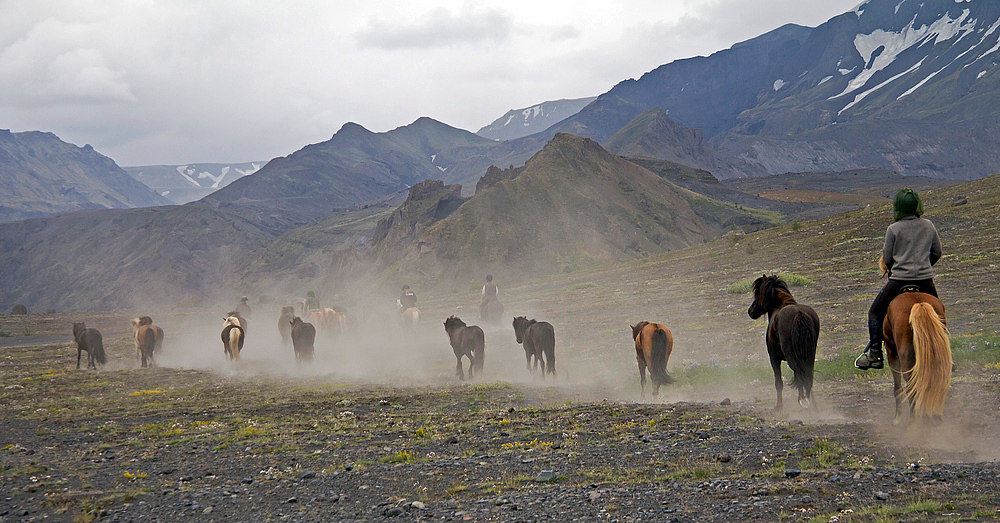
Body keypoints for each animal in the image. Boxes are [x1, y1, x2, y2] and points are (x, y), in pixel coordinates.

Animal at [752, 274, 820, 410]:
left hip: (790, 357)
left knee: (799, 374)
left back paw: (802, 400)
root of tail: (799, 314)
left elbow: (778, 382)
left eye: (758, 294)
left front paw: (779, 406)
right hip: (810, 354)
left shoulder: (773, 357)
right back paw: (810, 403)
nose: (750, 311)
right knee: (807, 375)